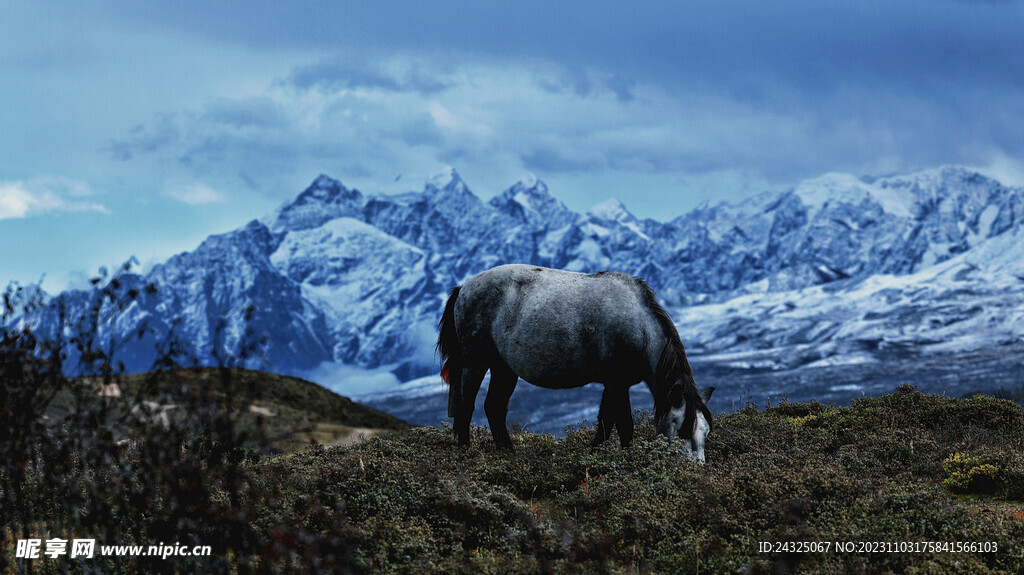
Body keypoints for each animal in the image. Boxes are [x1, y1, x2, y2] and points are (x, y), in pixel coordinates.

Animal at [436, 263, 716, 460]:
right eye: (681, 429)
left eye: (705, 432)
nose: (695, 472)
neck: (640, 325)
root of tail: (463, 288)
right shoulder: (617, 383)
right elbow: (623, 424)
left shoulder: (614, 384)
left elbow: (606, 421)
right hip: (475, 362)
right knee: (466, 407)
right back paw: (466, 453)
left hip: (503, 368)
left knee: (493, 407)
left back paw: (508, 454)